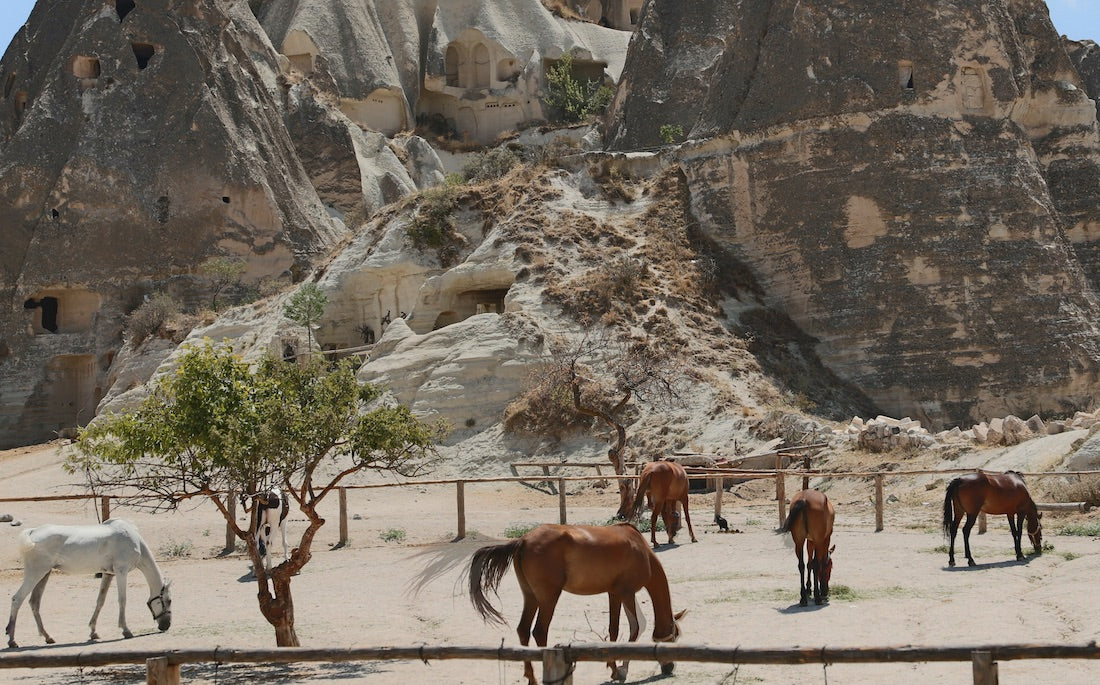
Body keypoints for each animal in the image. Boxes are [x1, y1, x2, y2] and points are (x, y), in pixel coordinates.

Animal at [4, 518, 171, 646]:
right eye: (168, 601)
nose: (166, 625)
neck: (133, 538)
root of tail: (32, 532)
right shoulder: (121, 572)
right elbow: (122, 600)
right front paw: (126, 630)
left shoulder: (108, 574)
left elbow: (100, 601)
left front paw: (93, 632)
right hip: (36, 574)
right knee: (17, 599)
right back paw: (12, 640)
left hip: (44, 574)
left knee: (34, 602)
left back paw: (48, 637)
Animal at [466, 523, 686, 681]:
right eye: (675, 636)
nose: (669, 668)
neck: (639, 547)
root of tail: (523, 540)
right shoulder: (627, 593)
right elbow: (636, 627)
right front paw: (621, 671)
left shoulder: (614, 594)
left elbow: (614, 630)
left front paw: (614, 669)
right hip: (549, 598)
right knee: (539, 631)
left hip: (531, 597)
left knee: (523, 630)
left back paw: (532, 678)